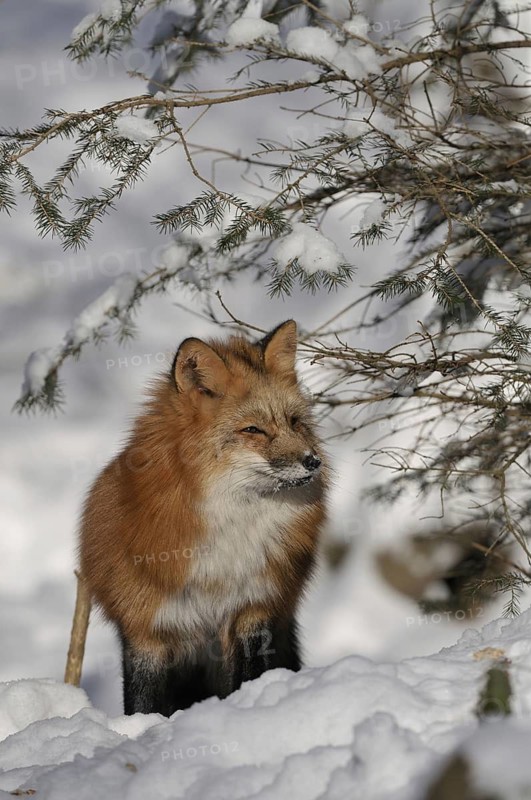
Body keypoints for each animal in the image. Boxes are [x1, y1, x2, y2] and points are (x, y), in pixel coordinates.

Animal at [79, 320, 327, 716]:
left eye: (294, 422)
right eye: (253, 430)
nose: (313, 461)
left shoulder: (252, 610)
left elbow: (250, 677)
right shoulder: (146, 627)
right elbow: (143, 705)